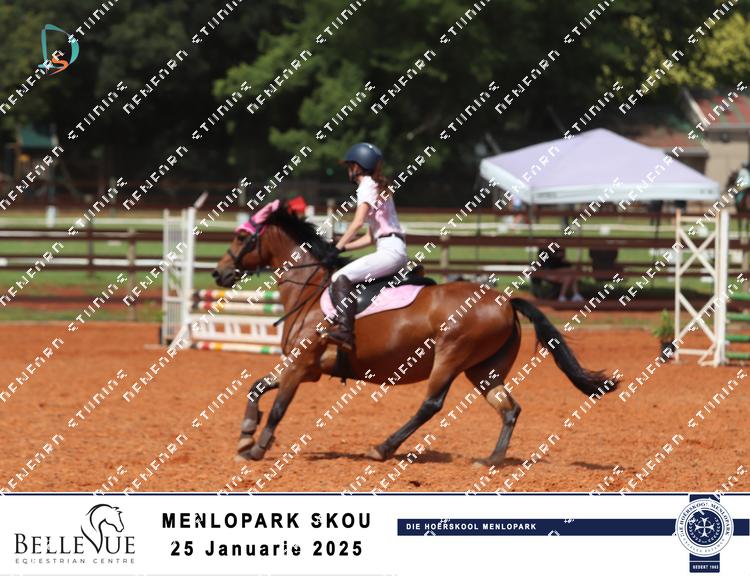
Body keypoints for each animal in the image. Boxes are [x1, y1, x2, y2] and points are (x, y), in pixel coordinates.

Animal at [212, 202, 619, 465]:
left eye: (241, 237)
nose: (218, 273)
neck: (310, 291)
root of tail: (505, 300)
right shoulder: (307, 367)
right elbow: (258, 387)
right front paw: (246, 433)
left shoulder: (302, 366)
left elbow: (280, 405)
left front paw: (258, 447)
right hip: (484, 369)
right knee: (509, 407)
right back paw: (492, 459)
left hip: (450, 356)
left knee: (431, 404)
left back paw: (383, 448)